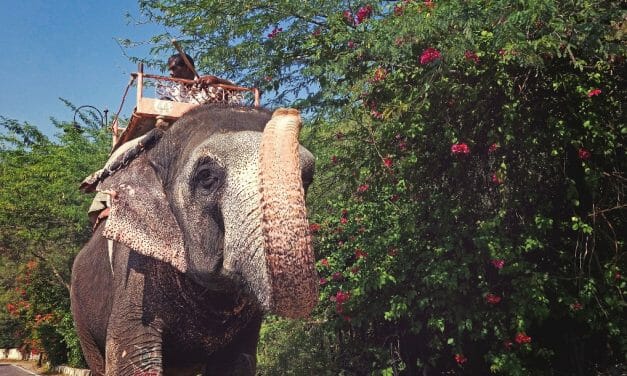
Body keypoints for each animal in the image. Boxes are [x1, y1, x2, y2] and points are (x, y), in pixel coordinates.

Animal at [70, 106, 318, 376]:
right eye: (206, 176)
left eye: (307, 178)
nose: (288, 111)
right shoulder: (134, 272)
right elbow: (132, 358)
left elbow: (236, 364)